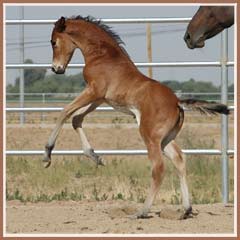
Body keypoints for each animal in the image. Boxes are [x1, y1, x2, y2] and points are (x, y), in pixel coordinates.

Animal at [44, 15, 230, 218]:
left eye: (53, 42)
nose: (56, 68)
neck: (103, 55)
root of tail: (176, 102)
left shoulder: (94, 91)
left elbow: (64, 112)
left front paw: (47, 154)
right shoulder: (101, 98)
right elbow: (76, 118)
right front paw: (94, 156)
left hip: (150, 136)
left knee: (158, 168)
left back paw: (142, 211)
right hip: (165, 139)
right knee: (179, 160)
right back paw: (186, 210)